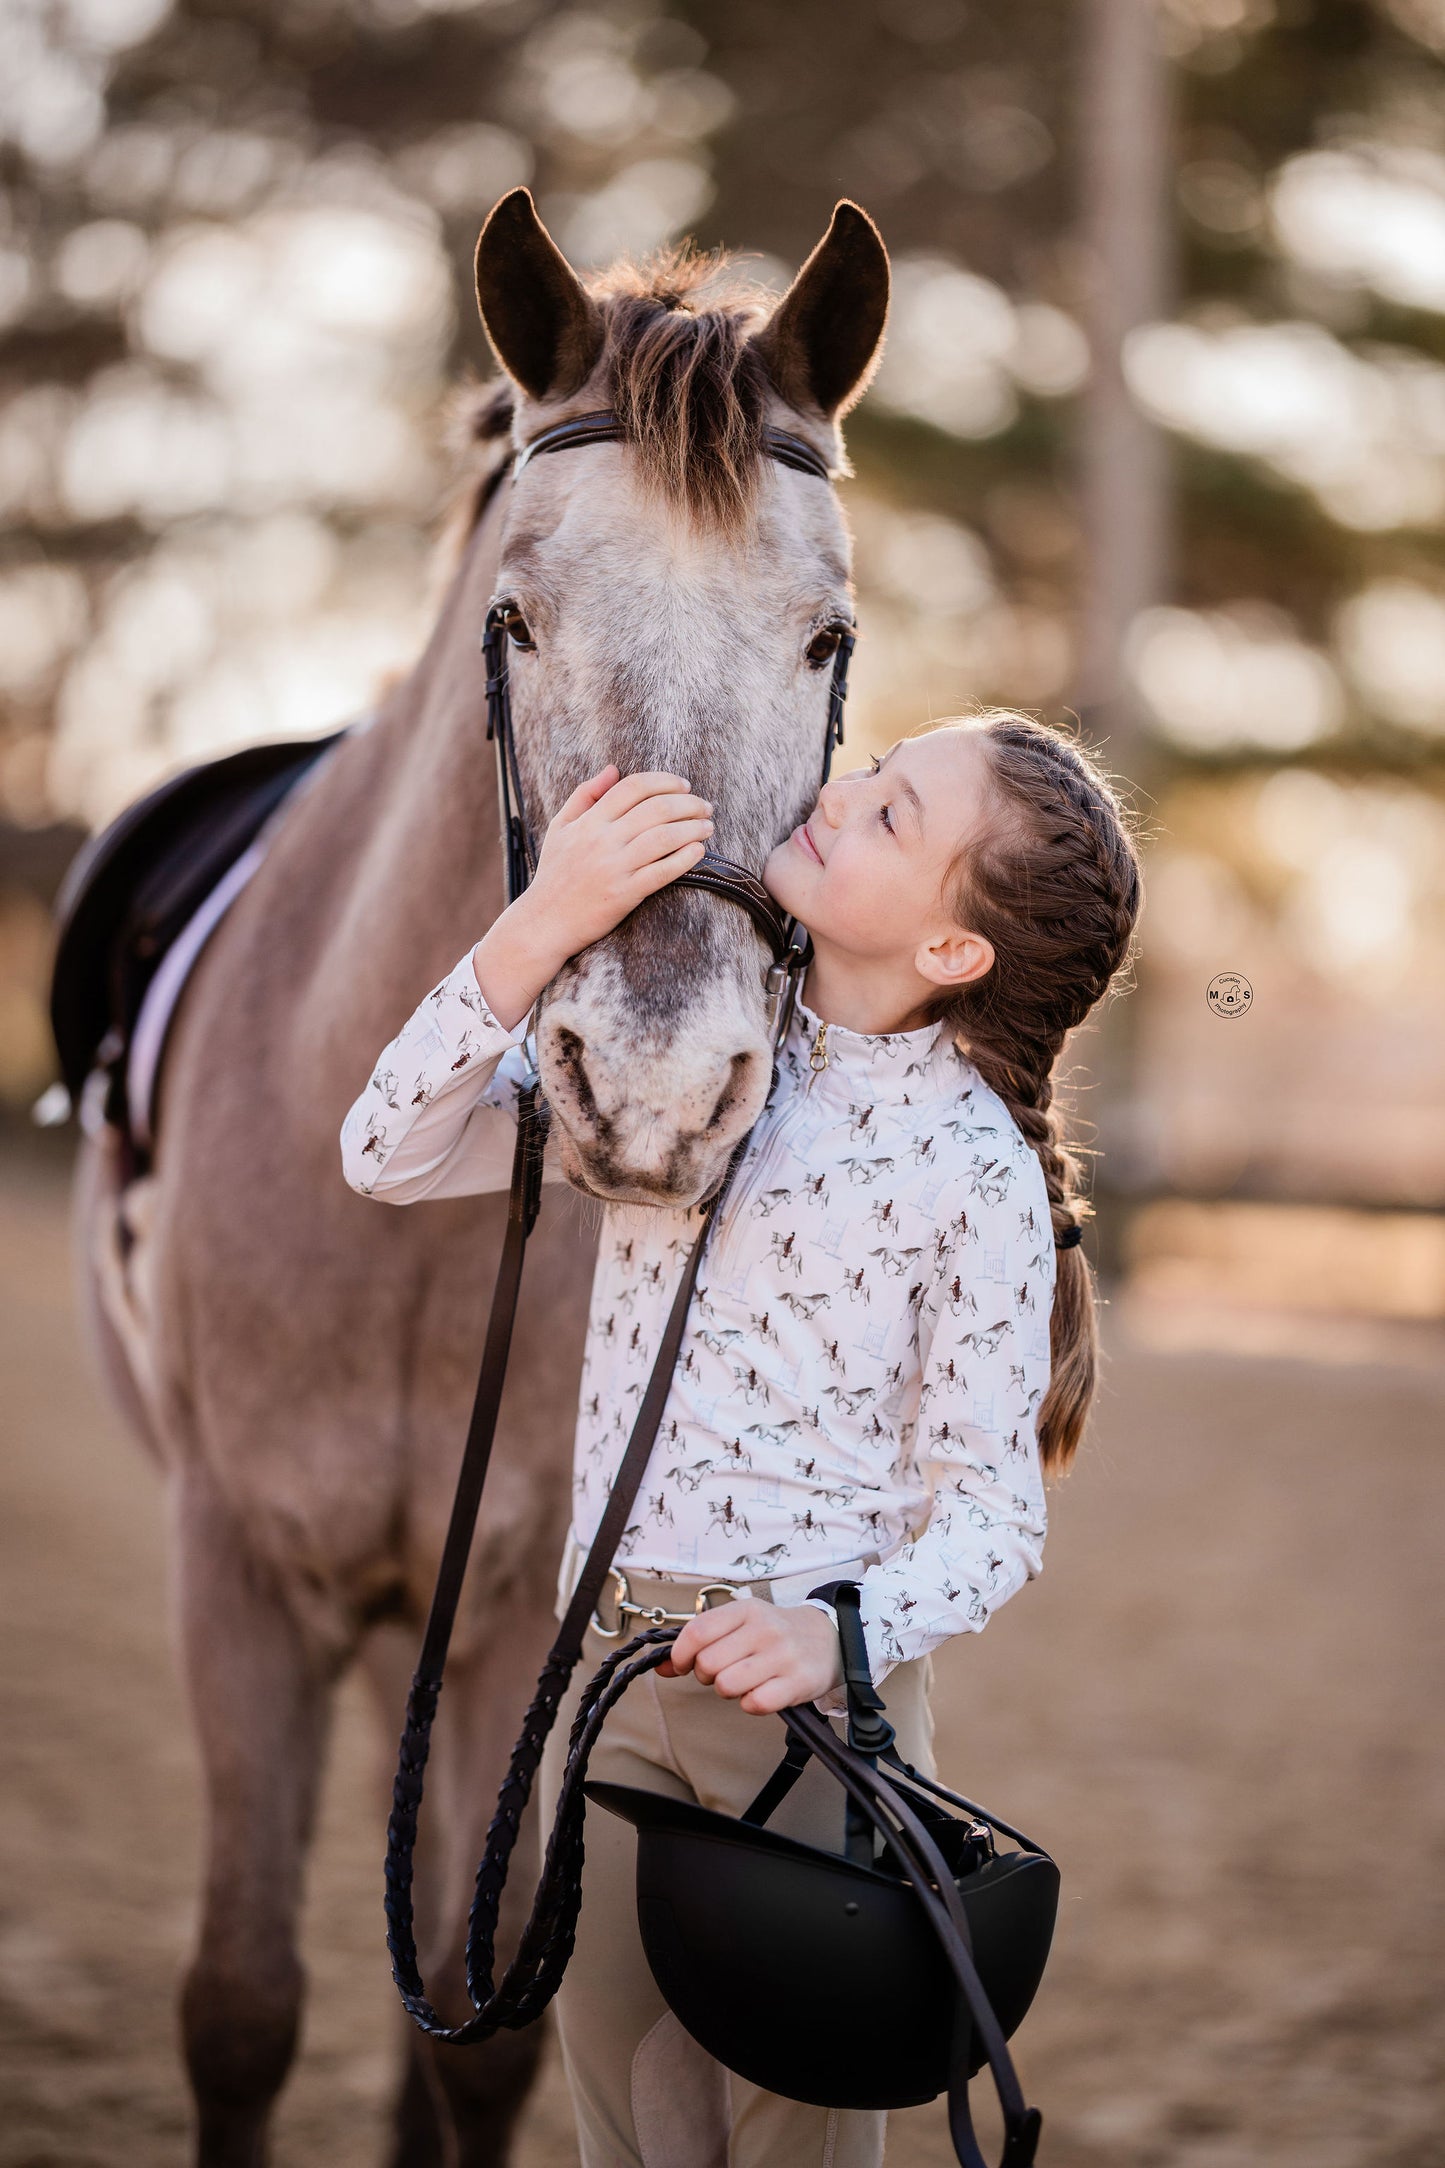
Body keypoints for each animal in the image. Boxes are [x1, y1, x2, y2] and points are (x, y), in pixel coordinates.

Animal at [76, 187, 889, 2166]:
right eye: (514, 619)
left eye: (826, 640)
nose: (659, 1090)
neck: (400, 1246)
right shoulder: (234, 1576)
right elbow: (240, 2007)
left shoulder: (523, 1592)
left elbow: (472, 2034)